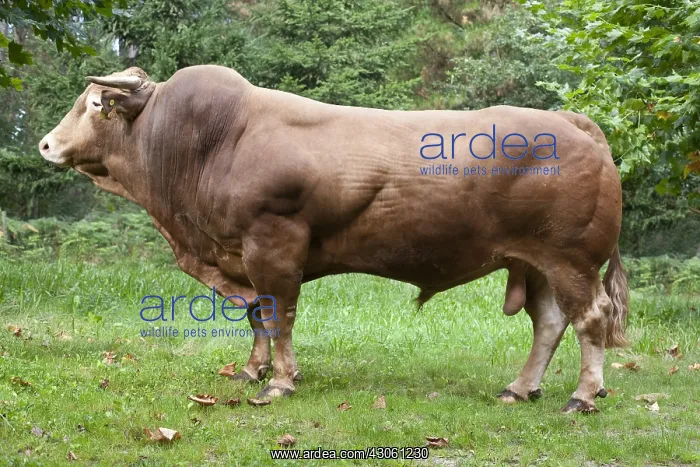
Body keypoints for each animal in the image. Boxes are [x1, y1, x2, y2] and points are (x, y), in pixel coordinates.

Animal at [39, 65, 629, 413]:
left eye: (96, 105)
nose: (45, 144)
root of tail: (571, 121)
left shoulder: (272, 246)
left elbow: (278, 315)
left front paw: (279, 381)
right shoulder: (240, 257)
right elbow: (255, 316)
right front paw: (251, 371)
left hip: (572, 260)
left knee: (590, 319)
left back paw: (582, 396)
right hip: (537, 262)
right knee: (550, 322)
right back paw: (520, 387)